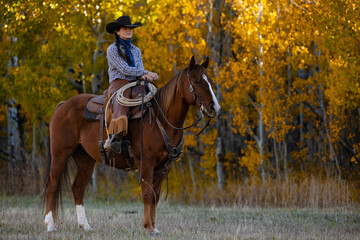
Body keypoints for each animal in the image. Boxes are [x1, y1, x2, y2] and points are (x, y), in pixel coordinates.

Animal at [43, 55, 221, 232]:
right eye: (196, 81)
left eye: (209, 80)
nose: (214, 107)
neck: (161, 118)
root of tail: (63, 105)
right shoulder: (146, 162)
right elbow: (147, 193)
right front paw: (148, 227)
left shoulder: (164, 166)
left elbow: (155, 195)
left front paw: (154, 227)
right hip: (60, 154)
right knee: (52, 185)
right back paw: (50, 225)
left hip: (85, 159)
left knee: (78, 188)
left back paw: (85, 226)